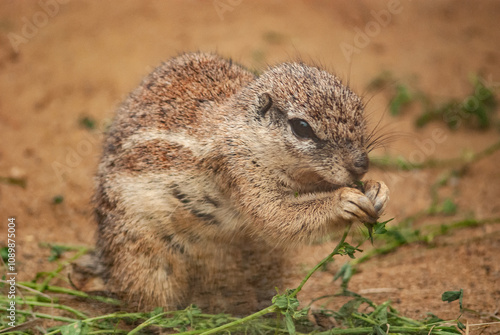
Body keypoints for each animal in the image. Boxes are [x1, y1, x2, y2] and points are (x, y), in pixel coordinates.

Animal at [94, 51, 390, 316]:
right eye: (302, 127)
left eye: (359, 107)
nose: (361, 164)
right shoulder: (242, 171)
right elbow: (276, 215)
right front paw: (345, 201)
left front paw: (377, 189)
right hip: (144, 259)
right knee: (148, 304)